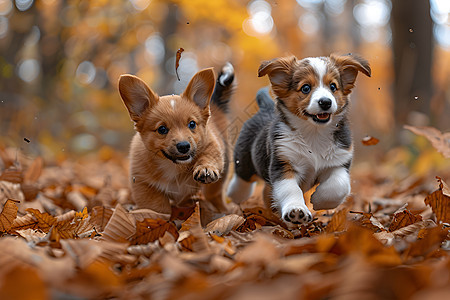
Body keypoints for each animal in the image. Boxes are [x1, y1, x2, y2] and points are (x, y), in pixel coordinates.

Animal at [116, 64, 236, 213]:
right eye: (162, 129)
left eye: (192, 124)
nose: (184, 146)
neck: (173, 166)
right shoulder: (144, 184)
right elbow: (158, 209)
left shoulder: (211, 144)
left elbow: (208, 156)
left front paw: (206, 168)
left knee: (214, 194)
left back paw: (224, 210)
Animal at [227, 53, 370, 225]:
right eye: (306, 88)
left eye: (333, 87)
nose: (325, 102)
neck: (314, 133)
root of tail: (265, 106)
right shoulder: (283, 165)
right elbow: (290, 190)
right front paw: (296, 210)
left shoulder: (339, 162)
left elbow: (339, 185)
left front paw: (319, 200)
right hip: (244, 160)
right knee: (242, 178)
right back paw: (235, 194)